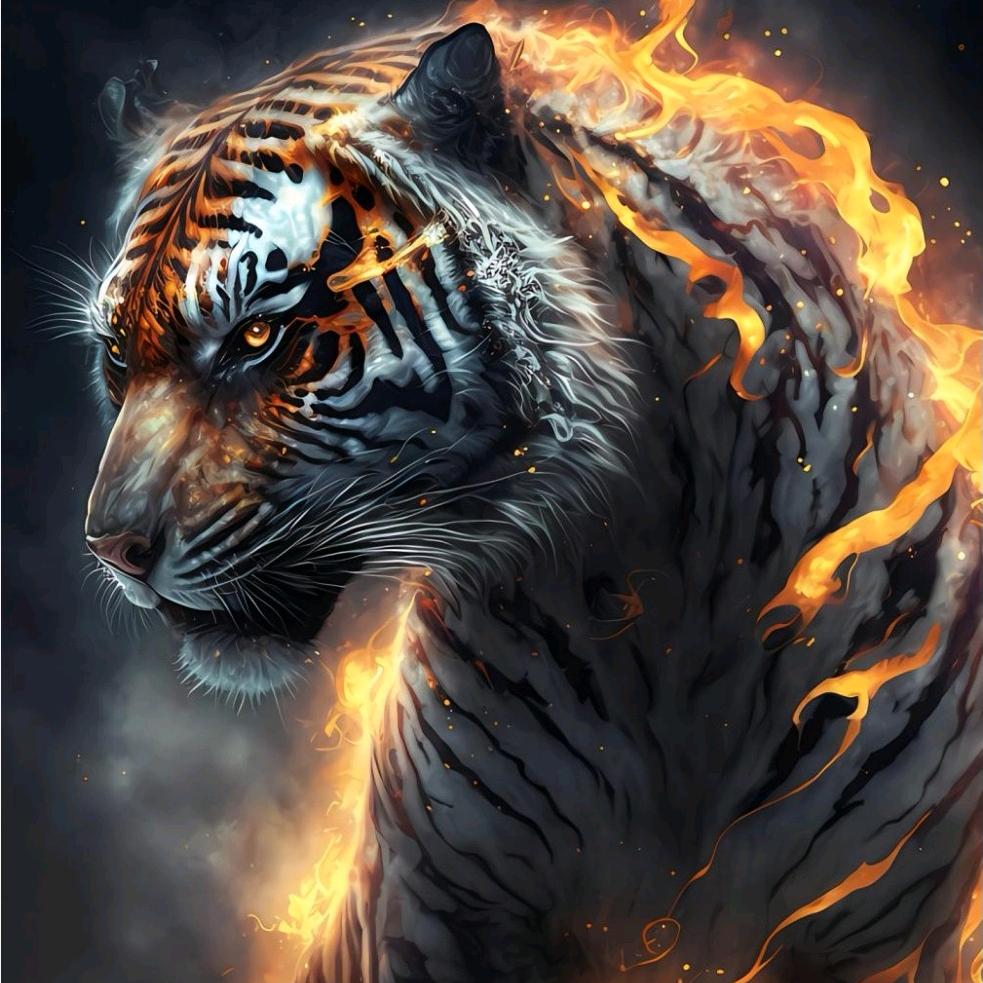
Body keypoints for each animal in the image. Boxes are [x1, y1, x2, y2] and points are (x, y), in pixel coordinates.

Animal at [77, 7, 981, 983]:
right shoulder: (432, 906)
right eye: (117, 356)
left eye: (255, 337)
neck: (664, 591)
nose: (111, 548)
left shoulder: (886, 929)